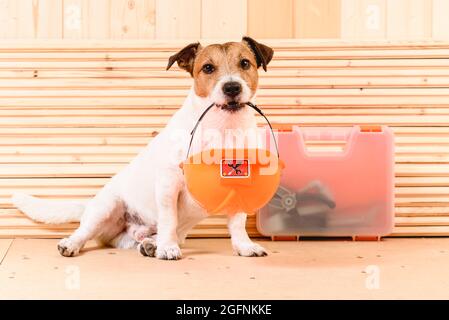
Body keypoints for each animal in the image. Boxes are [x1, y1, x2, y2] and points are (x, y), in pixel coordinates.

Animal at [11, 36, 272, 260]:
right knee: (85, 231)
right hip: (105, 208)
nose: (232, 88)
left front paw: (245, 246)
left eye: (245, 63)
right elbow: (168, 219)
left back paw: (149, 245)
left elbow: (237, 223)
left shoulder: (240, 187)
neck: (223, 129)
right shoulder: (169, 183)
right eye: (208, 68)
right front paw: (167, 248)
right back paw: (73, 243)